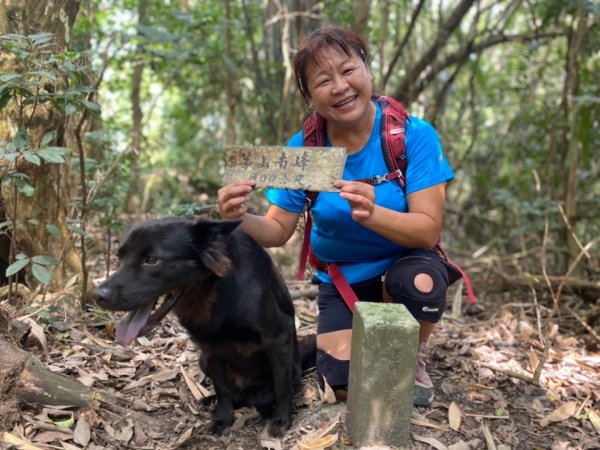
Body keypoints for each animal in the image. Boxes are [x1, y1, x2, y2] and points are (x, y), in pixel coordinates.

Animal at [94, 218, 310, 436]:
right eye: (120, 257)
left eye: (152, 260)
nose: (97, 296)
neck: (214, 293)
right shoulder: (209, 347)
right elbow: (221, 388)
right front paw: (223, 417)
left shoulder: (279, 337)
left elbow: (281, 386)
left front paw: (281, 419)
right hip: (202, 361)